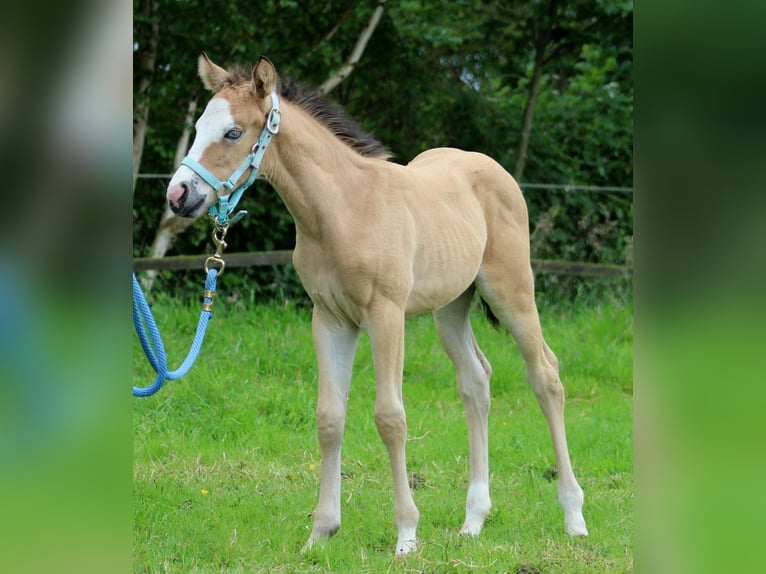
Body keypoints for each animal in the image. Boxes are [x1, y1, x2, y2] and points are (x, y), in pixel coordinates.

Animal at [166, 56, 588, 556]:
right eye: (197, 126)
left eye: (233, 132)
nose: (178, 195)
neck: (344, 209)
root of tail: (492, 169)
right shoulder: (329, 319)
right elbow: (329, 418)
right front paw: (321, 532)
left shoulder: (385, 314)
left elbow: (390, 417)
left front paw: (406, 535)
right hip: (451, 307)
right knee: (476, 382)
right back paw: (473, 520)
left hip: (513, 291)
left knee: (546, 376)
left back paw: (574, 516)